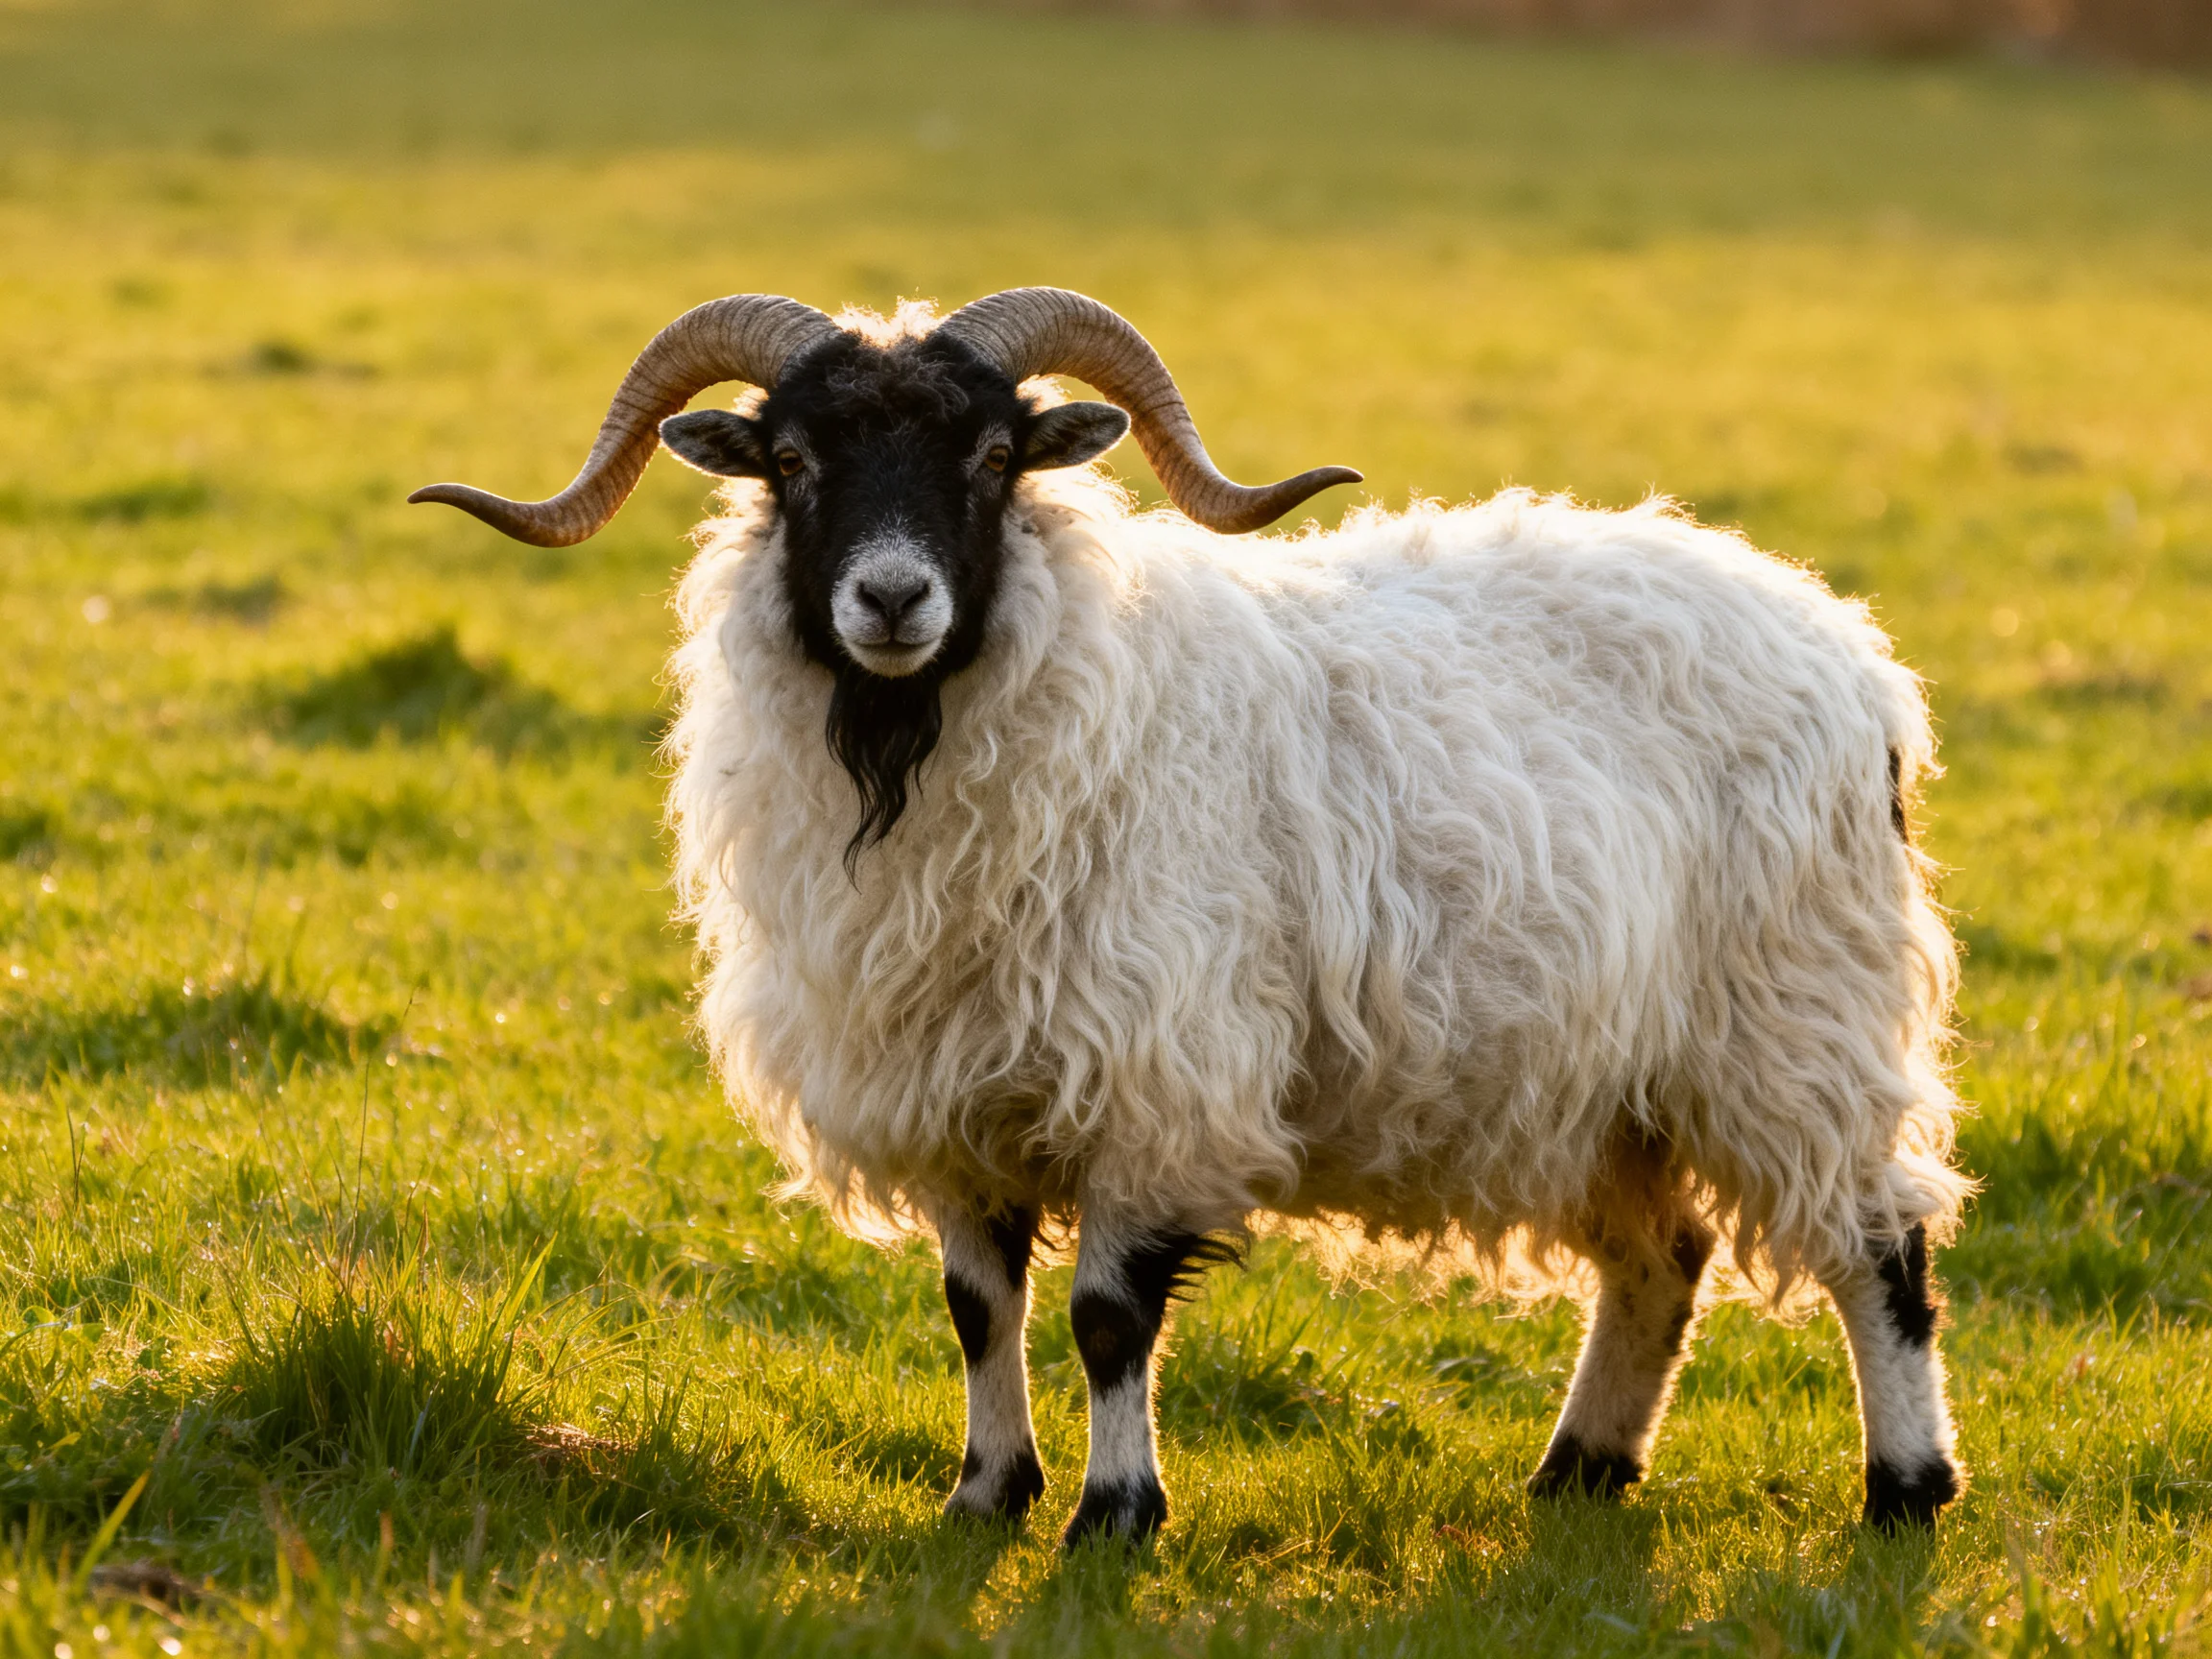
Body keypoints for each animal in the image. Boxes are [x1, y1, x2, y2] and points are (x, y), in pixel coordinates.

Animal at [411, 287, 1971, 1546]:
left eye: (994, 459)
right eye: (791, 463)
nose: (893, 599)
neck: (908, 755)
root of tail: (1852, 652)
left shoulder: (1154, 1075)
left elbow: (1107, 1318)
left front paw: (1114, 1515)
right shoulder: (949, 1089)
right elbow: (979, 1309)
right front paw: (984, 1498)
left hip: (1794, 1016)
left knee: (1878, 1246)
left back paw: (1906, 1490)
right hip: (1604, 1075)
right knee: (1663, 1260)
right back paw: (1579, 1473)